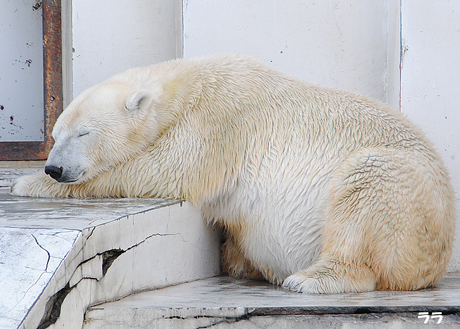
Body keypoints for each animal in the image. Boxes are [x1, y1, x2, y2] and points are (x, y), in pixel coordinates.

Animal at [12, 53, 454, 292]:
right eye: (55, 135)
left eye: (83, 133)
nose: (54, 167)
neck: (185, 86)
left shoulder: (220, 121)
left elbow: (166, 169)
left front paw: (26, 181)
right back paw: (242, 261)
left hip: (408, 200)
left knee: (367, 181)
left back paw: (310, 278)